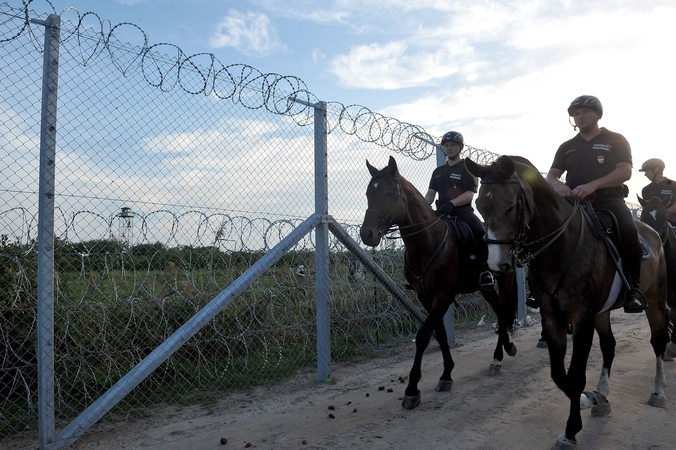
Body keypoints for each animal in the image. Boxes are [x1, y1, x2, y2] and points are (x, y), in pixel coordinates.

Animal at [360, 156, 516, 410]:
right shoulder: (426, 296)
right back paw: (504, 349)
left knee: (503, 310)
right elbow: (440, 332)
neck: (426, 242)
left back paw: (499, 357)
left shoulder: (443, 295)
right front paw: (446, 374)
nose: (367, 234)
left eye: (388, 194)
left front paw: (412, 389)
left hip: (504, 278)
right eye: (367, 193)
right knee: (499, 310)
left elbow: (424, 334)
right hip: (484, 287)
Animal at [468, 156, 672, 450]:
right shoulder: (553, 318)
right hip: (602, 313)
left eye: (510, 205)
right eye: (480, 207)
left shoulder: (582, 317)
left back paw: (658, 391)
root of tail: (654, 233)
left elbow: (575, 376)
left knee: (657, 341)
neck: (560, 246)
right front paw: (590, 399)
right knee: (609, 346)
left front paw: (571, 430)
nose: (497, 265)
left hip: (654, 301)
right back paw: (603, 394)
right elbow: (558, 374)